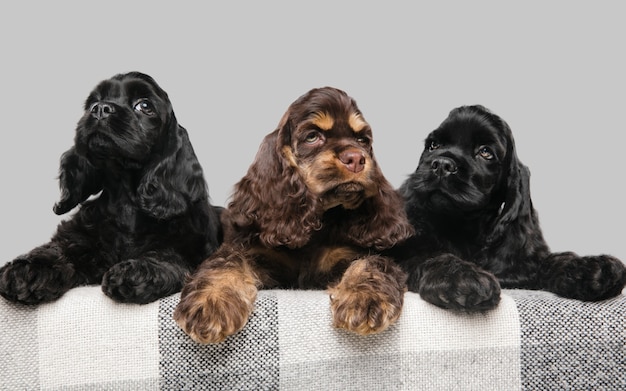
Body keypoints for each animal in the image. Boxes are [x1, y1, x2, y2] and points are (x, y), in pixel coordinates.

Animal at [0, 72, 223, 306]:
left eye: (144, 105)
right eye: (92, 102)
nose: (100, 108)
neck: (125, 201)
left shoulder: (191, 248)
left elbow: (169, 256)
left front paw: (137, 271)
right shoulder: (79, 238)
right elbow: (58, 248)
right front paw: (27, 270)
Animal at [173, 86, 412, 344]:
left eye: (362, 140)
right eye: (312, 136)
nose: (357, 159)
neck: (317, 222)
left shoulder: (348, 254)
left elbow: (373, 262)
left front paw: (364, 299)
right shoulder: (257, 254)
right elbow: (227, 260)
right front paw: (211, 302)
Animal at [386, 105, 624, 312]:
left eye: (485, 152)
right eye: (433, 145)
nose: (441, 164)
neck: (462, 225)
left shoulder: (521, 263)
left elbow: (548, 260)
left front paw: (592, 268)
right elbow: (428, 257)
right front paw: (460, 278)